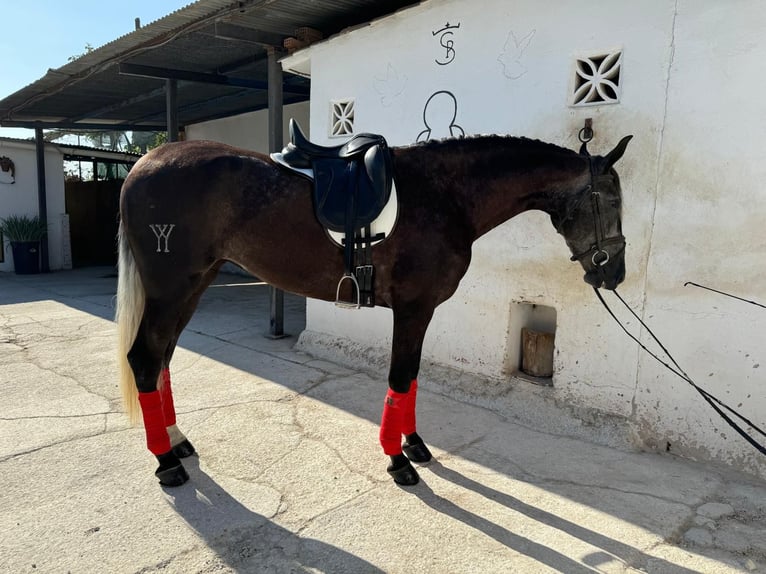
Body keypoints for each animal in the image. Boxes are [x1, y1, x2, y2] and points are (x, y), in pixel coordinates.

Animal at [117, 132, 632, 490]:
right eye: (610, 200)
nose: (614, 272)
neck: (445, 194)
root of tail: (146, 162)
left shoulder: (421, 312)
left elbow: (413, 378)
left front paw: (414, 445)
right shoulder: (412, 308)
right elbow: (400, 378)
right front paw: (398, 460)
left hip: (193, 286)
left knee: (162, 359)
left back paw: (176, 441)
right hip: (170, 290)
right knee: (144, 358)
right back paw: (165, 462)